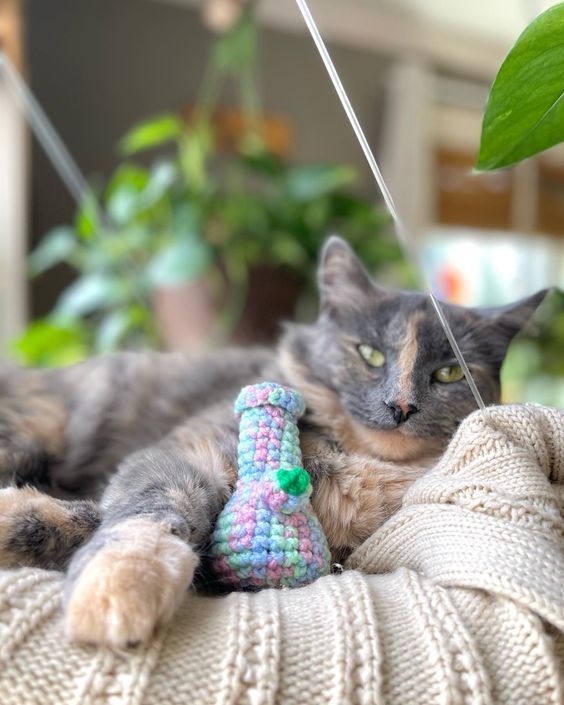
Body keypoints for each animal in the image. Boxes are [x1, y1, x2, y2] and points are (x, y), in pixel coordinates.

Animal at [0, 235, 548, 644]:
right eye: (370, 354)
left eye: (449, 372)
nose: (401, 406)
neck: (356, 461)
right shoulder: (185, 453)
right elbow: (141, 513)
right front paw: (117, 590)